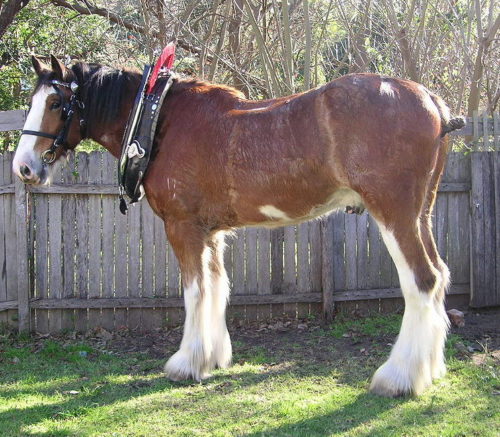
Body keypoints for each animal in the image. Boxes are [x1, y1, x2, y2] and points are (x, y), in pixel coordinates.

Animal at [11, 53, 464, 396]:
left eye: (56, 104)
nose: (24, 167)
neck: (158, 119)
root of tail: (432, 101)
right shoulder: (210, 233)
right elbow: (217, 287)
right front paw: (212, 358)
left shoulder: (183, 227)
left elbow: (194, 292)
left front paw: (186, 363)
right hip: (420, 214)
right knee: (440, 275)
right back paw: (429, 369)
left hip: (394, 213)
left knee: (421, 280)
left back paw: (398, 377)